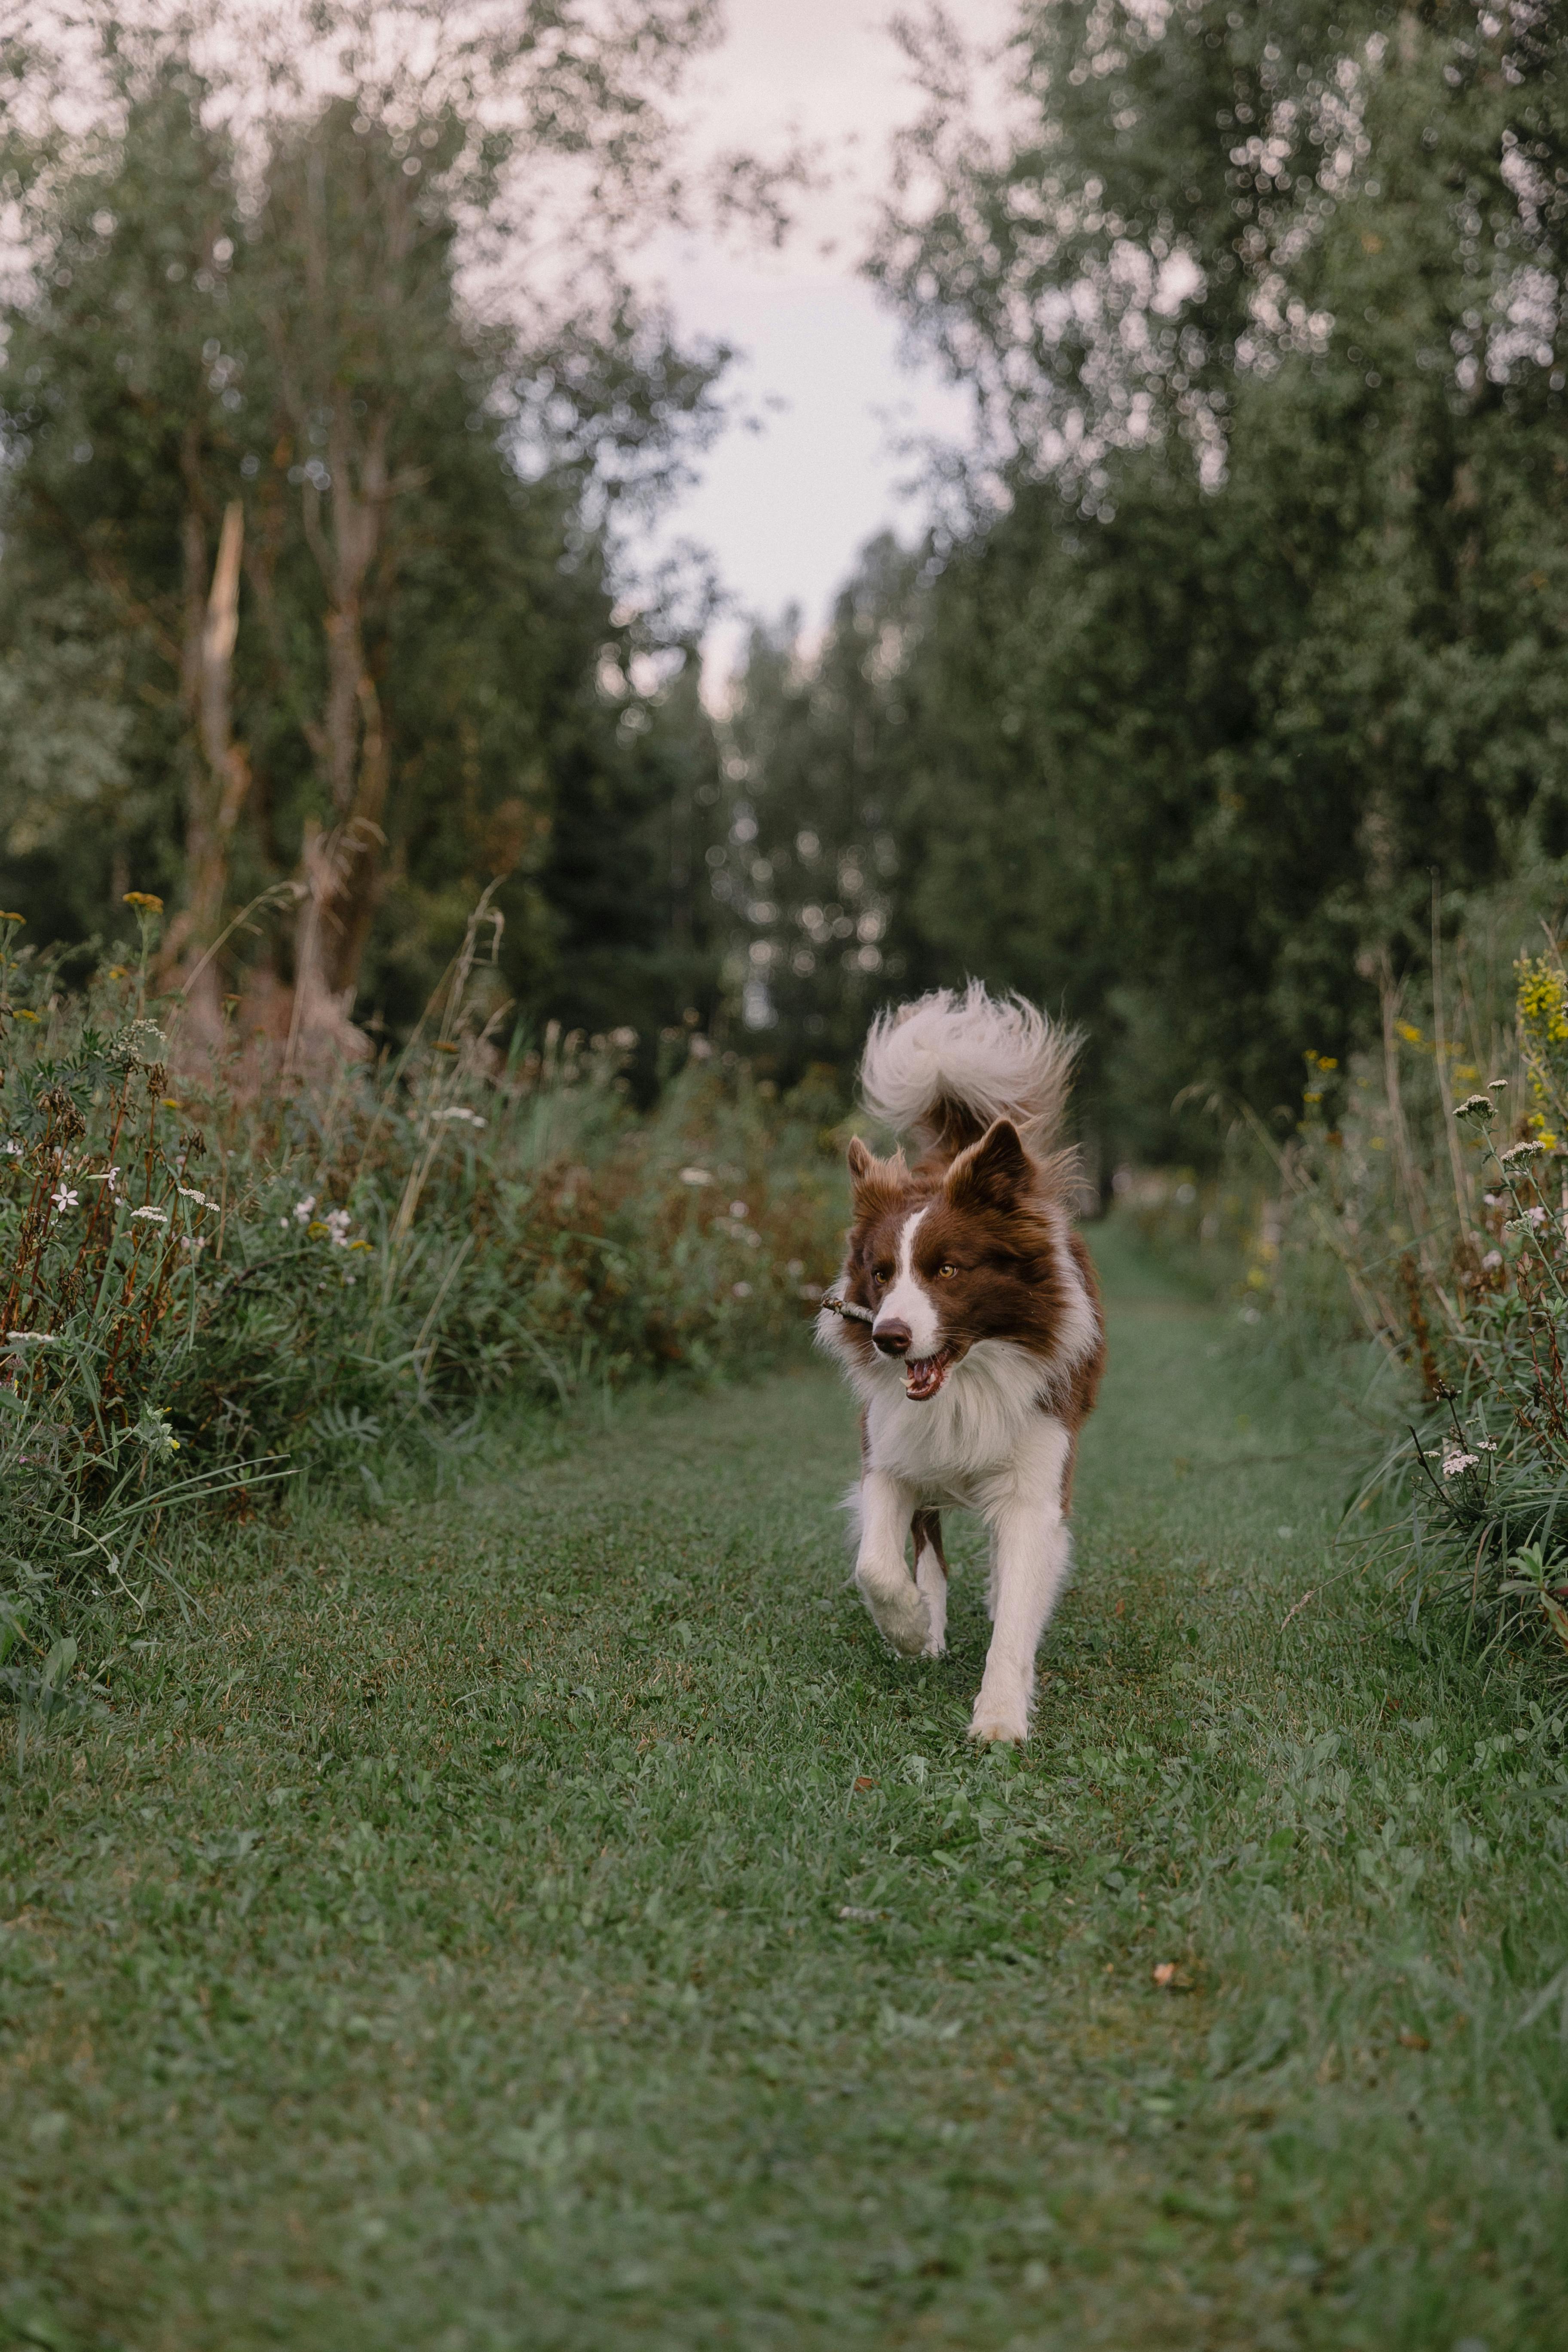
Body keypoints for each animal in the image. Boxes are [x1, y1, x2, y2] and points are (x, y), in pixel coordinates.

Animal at [818, 983, 1109, 1740]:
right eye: (882, 1274)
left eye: (948, 1270)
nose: (889, 1337)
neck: (968, 1381)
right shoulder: (888, 1448)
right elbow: (877, 1565)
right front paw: (911, 1629)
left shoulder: (1040, 1468)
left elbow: (1022, 1590)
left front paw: (1001, 1715)